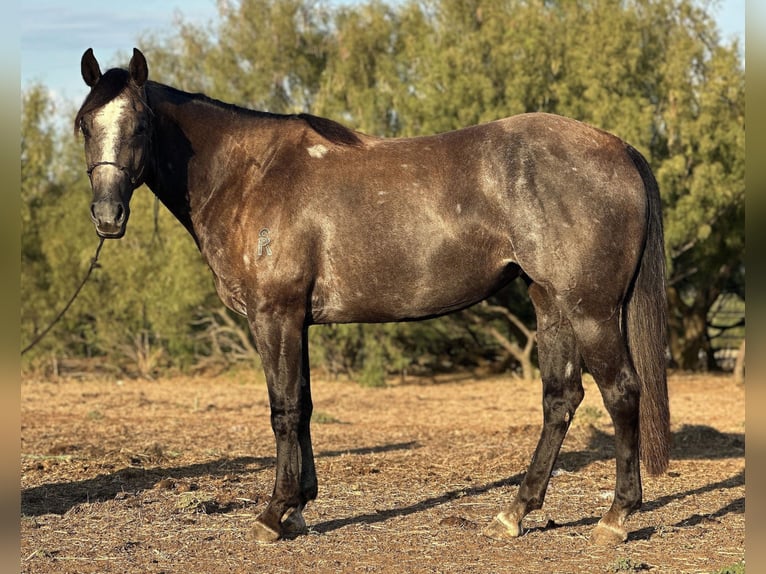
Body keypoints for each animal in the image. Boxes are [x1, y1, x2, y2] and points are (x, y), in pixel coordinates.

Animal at [75, 47, 668, 548]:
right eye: (84, 124)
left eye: (141, 123)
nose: (107, 217)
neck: (250, 175)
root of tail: (618, 148)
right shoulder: (297, 322)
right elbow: (305, 406)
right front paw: (298, 507)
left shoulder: (274, 317)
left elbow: (283, 410)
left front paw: (273, 514)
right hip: (551, 303)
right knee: (560, 399)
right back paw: (514, 512)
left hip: (591, 311)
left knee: (621, 392)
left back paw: (616, 518)